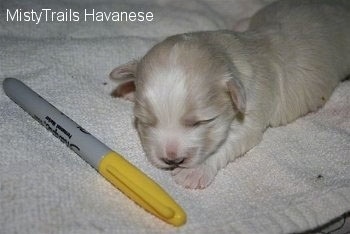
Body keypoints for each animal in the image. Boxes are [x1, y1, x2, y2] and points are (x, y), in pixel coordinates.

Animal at [109, 0, 350, 189]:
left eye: (200, 122)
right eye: (145, 121)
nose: (172, 159)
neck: (228, 54)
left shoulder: (254, 104)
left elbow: (234, 139)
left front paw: (194, 172)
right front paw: (128, 86)